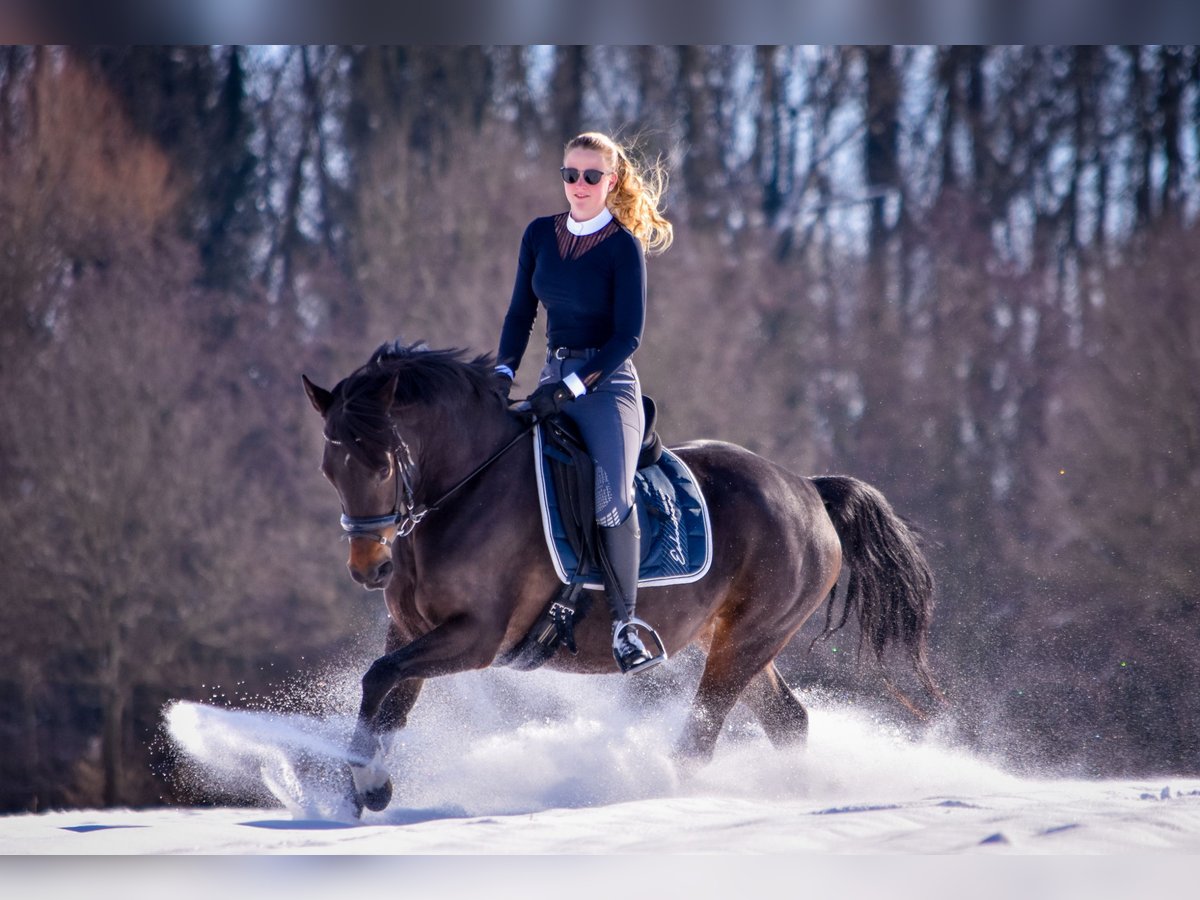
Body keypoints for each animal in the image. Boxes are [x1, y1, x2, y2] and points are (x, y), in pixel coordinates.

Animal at [300, 340, 936, 816]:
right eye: (329, 468)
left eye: (382, 464)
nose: (369, 568)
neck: (468, 489)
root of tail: (807, 488)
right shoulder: (411, 630)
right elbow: (384, 697)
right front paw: (358, 797)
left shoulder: (478, 638)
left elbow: (381, 679)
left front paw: (368, 787)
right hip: (735, 640)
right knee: (788, 721)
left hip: (748, 641)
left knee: (701, 738)